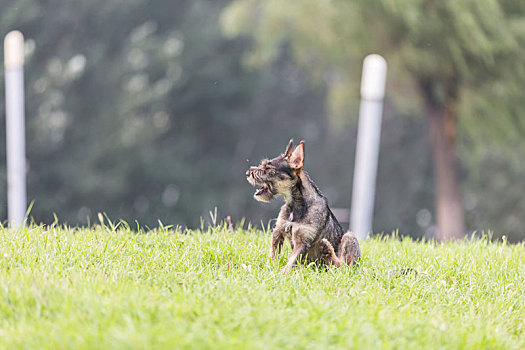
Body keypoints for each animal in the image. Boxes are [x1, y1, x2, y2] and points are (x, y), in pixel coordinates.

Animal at [246, 139, 360, 274]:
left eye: (268, 168)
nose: (247, 173)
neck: (295, 206)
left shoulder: (302, 241)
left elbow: (291, 261)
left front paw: (281, 274)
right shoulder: (278, 231)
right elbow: (273, 254)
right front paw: (270, 267)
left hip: (349, 237)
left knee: (342, 266)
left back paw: (327, 249)